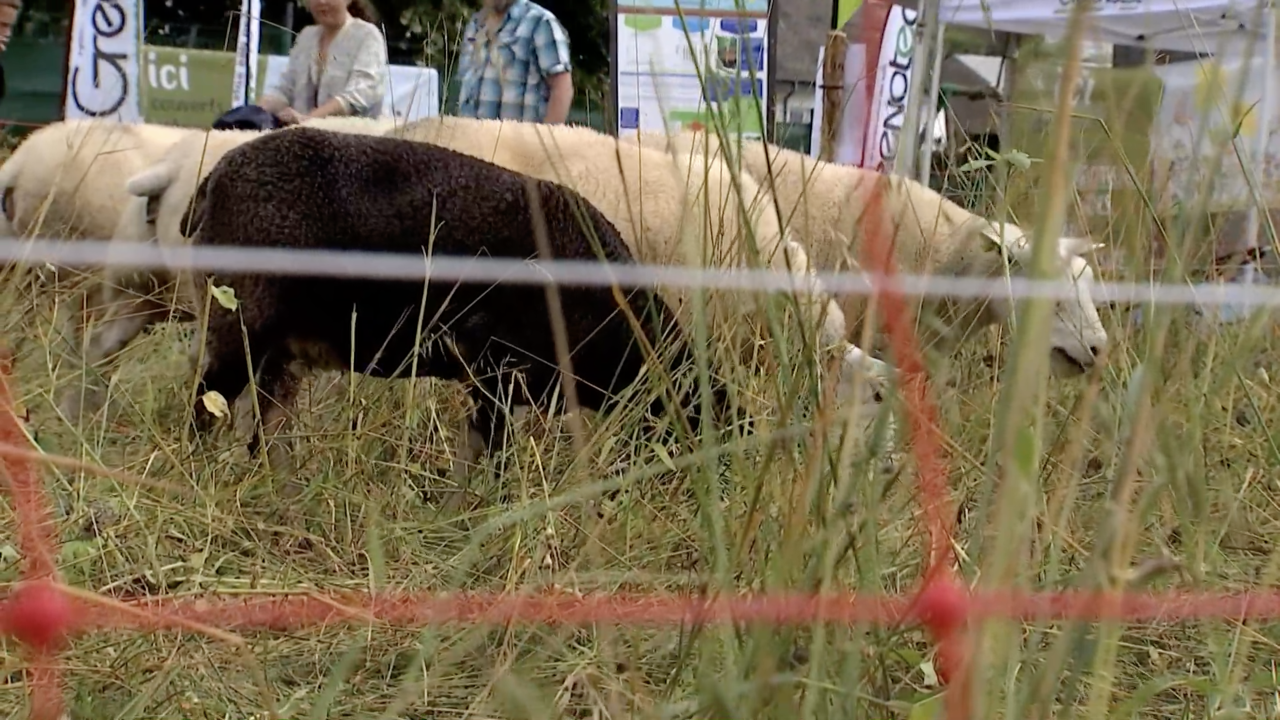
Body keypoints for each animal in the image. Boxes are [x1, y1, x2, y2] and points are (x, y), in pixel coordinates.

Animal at [177, 127, 732, 486]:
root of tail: (211, 182)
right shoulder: (491, 365)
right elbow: (492, 455)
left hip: (282, 352)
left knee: (266, 428)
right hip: (241, 322)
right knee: (209, 407)